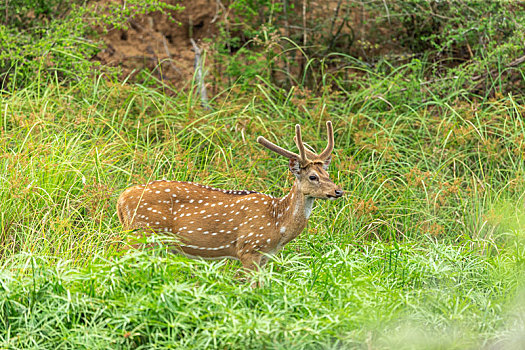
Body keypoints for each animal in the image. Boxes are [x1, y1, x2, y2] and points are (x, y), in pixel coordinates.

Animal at [116, 121, 342, 272]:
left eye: (328, 175)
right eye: (313, 177)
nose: (338, 191)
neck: (278, 224)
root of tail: (121, 199)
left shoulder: (266, 256)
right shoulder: (249, 248)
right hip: (143, 232)